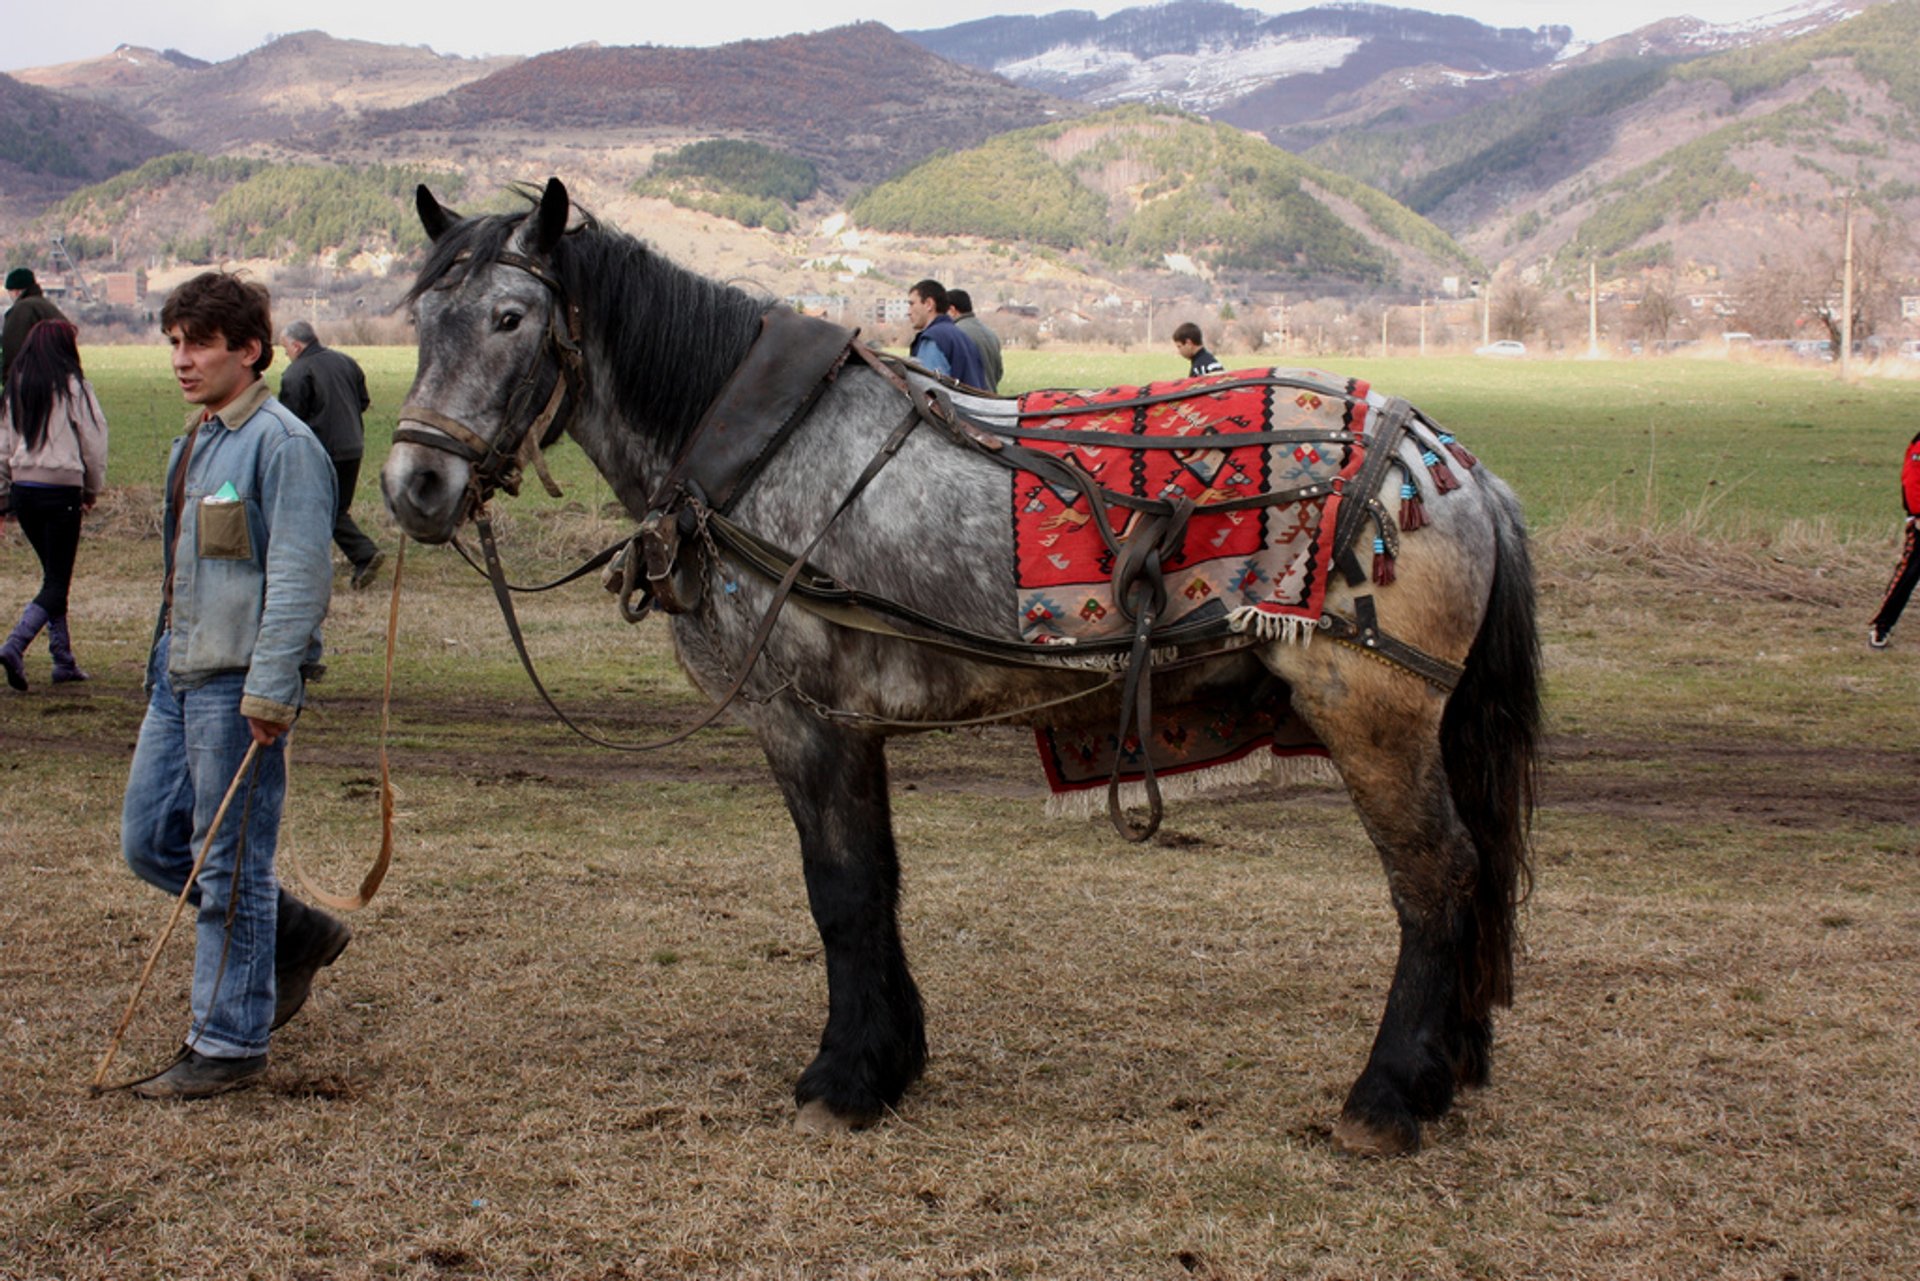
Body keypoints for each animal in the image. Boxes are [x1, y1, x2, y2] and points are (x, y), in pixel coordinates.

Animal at [385, 180, 1543, 1160]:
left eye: (511, 319)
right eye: (421, 319)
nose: (413, 484)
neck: (758, 449)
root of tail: (1453, 465)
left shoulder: (801, 716)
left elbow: (840, 890)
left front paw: (844, 1079)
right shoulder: (853, 726)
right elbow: (877, 883)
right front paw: (891, 1058)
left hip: (1373, 713)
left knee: (1436, 876)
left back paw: (1389, 1095)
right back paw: (1447, 1068)